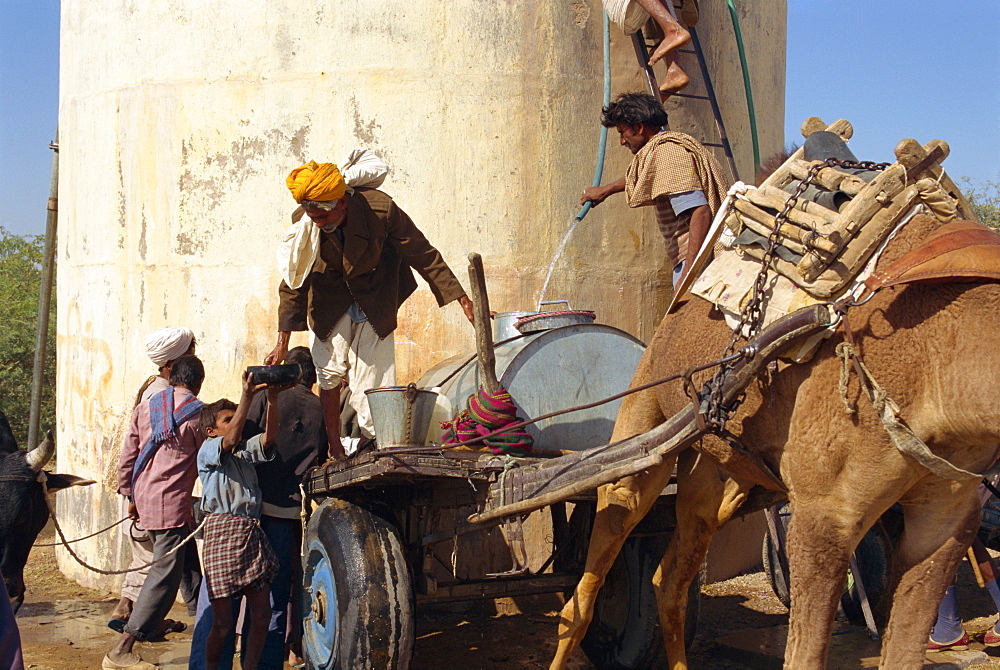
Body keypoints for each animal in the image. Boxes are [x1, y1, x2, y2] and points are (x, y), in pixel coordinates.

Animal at [552, 213, 1000, 668]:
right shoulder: (825, 512)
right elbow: (804, 655)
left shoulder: (947, 513)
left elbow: (905, 649)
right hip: (643, 414)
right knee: (589, 580)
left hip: (713, 475)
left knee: (669, 578)